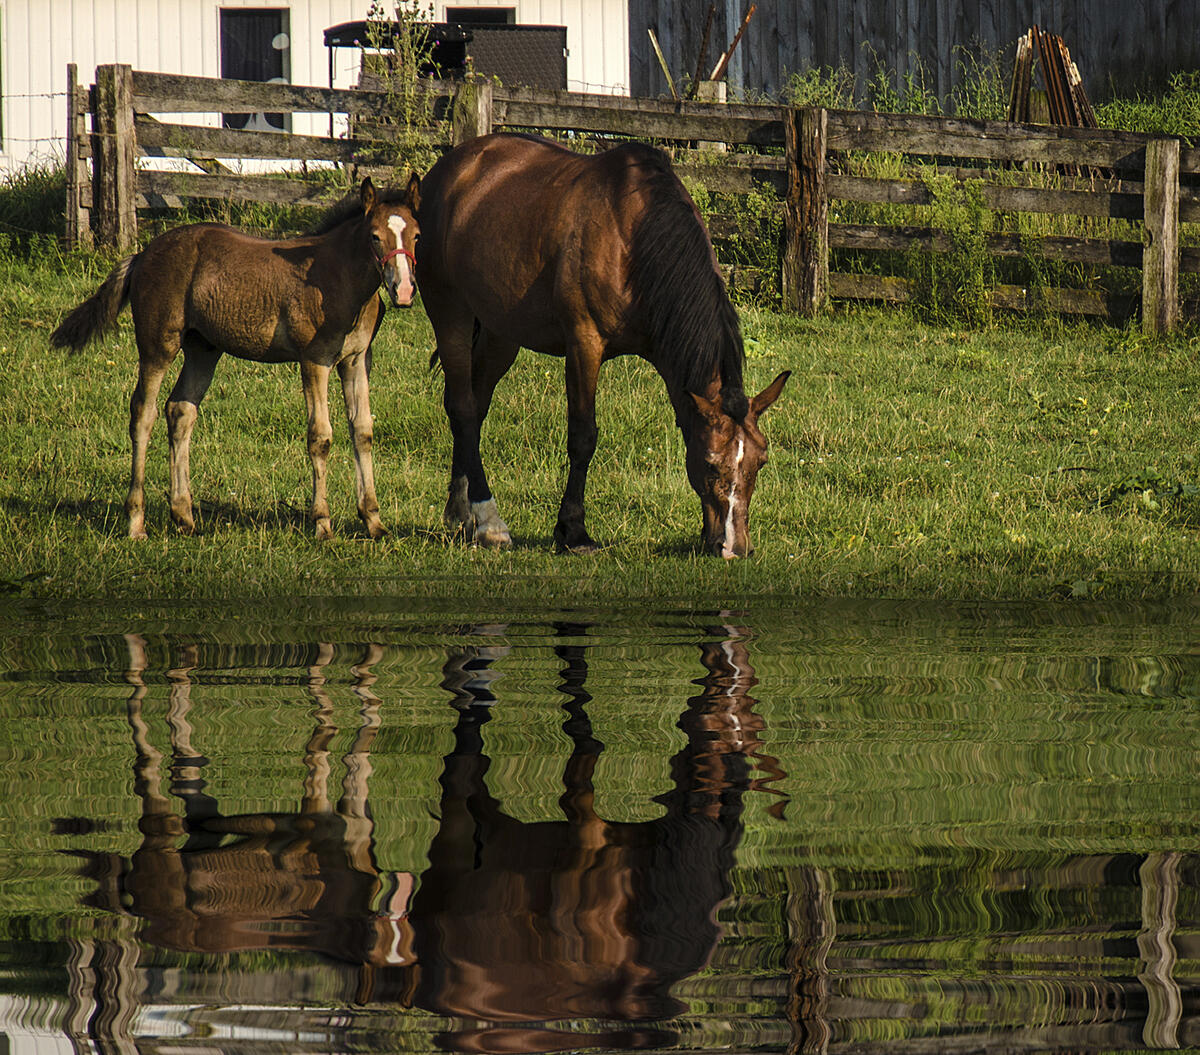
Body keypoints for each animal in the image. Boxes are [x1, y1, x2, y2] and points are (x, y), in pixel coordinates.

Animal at [49, 176, 420, 541]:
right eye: (375, 236)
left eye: (416, 235)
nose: (403, 290)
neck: (337, 278)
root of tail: (142, 254)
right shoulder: (315, 360)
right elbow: (320, 436)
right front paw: (322, 523)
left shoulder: (355, 360)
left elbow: (363, 430)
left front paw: (373, 520)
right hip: (158, 345)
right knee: (143, 412)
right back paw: (136, 522)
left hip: (203, 349)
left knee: (180, 410)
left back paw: (184, 516)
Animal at [415, 133, 790, 558]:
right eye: (711, 463)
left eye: (760, 461)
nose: (733, 547)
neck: (633, 237)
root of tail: (450, 169)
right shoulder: (584, 344)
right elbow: (583, 436)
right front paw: (573, 530)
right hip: (450, 311)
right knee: (461, 407)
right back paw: (489, 520)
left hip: (500, 331)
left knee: (474, 409)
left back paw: (463, 512)